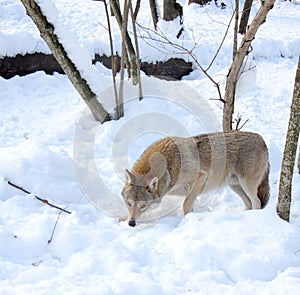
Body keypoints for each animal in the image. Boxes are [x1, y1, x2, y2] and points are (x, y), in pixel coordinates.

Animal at [120, 131, 270, 227]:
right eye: (128, 203)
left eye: (143, 205)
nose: (131, 224)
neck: (168, 164)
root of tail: (262, 139)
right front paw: (122, 218)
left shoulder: (200, 177)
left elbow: (186, 205)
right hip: (235, 186)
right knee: (249, 203)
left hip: (246, 184)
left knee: (256, 202)